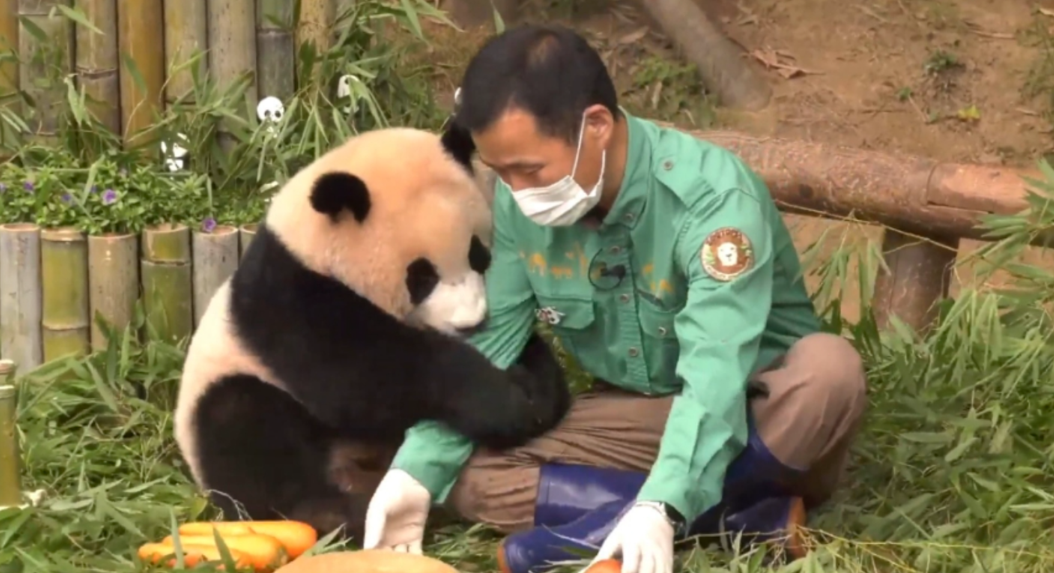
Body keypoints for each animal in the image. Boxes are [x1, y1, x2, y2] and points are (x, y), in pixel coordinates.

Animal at [172, 125, 573, 543]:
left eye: (480, 255)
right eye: (421, 277)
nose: (471, 323)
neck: (312, 242)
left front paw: (537, 389)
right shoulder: (290, 297)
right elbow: (360, 379)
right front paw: (506, 401)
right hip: (225, 391)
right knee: (243, 426)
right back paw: (334, 513)